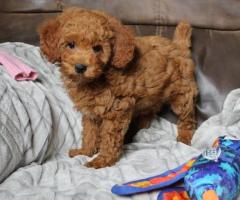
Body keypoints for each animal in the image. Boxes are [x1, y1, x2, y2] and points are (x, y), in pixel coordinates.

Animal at [38, 7, 199, 168]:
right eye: (70, 45)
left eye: (97, 48)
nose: (80, 67)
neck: (99, 77)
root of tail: (178, 45)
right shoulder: (91, 113)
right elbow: (90, 133)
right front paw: (85, 151)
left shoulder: (117, 110)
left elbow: (109, 138)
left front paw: (102, 160)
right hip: (150, 97)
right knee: (148, 114)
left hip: (182, 93)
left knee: (188, 118)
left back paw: (184, 138)